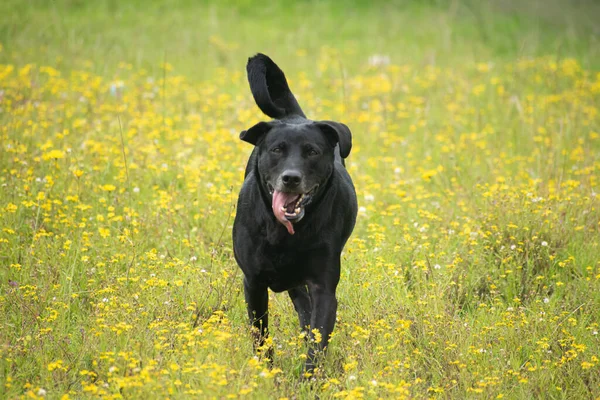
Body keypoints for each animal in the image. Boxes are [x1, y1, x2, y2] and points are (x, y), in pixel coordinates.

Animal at [233, 52, 356, 372]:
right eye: (277, 149)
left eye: (312, 151)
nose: (291, 178)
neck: (285, 232)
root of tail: (294, 117)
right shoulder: (253, 284)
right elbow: (261, 337)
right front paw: (267, 374)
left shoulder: (323, 286)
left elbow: (317, 340)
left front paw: (310, 377)